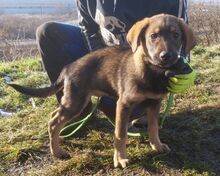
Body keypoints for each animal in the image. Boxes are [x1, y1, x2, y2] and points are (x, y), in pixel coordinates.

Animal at [9, 14, 197, 168]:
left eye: (176, 35)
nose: (166, 56)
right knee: (54, 121)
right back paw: (57, 151)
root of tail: (68, 67)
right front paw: (120, 159)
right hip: (76, 100)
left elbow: (153, 127)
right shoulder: (124, 104)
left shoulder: (154, 103)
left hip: (75, 100)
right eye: (153, 36)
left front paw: (157, 146)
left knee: (54, 115)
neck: (152, 71)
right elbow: (120, 134)